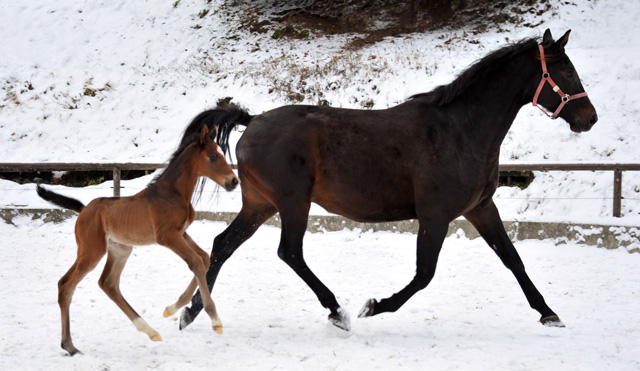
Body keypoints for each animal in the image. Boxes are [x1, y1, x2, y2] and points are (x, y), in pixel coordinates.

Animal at [36, 126, 240, 356]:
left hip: (119, 250)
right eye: (212, 156)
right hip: (92, 251)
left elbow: (204, 258)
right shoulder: (167, 236)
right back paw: (70, 346)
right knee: (66, 285)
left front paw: (171, 309)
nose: (234, 181)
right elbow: (196, 262)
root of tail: (83, 210)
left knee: (107, 283)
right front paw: (215, 320)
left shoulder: (182, 233)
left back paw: (150, 331)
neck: (171, 194)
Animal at [179, 29, 596, 332]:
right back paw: (337, 311)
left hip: (261, 204)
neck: (460, 130)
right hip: (292, 202)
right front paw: (373, 306)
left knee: (223, 244)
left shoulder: (480, 208)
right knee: (290, 252)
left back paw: (192, 312)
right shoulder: (435, 215)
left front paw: (548, 313)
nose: (589, 118)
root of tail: (253, 121)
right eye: (567, 72)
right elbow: (424, 274)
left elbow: (513, 259)